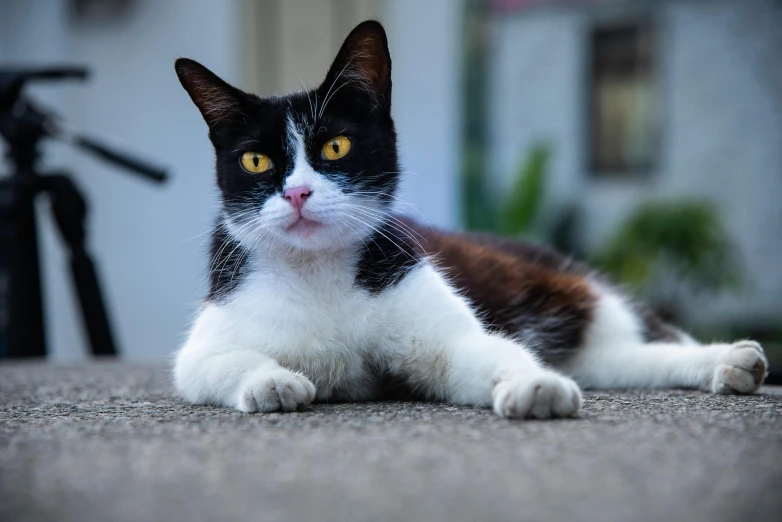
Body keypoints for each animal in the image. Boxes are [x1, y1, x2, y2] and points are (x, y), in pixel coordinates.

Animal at [172, 21, 764, 418]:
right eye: (256, 161)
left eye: (336, 146)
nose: (297, 192)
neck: (320, 276)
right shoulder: (205, 344)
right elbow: (216, 364)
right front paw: (272, 382)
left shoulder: (439, 328)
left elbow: (483, 351)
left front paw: (532, 386)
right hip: (594, 349)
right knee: (623, 358)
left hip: (572, 289)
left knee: (649, 335)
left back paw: (727, 359)